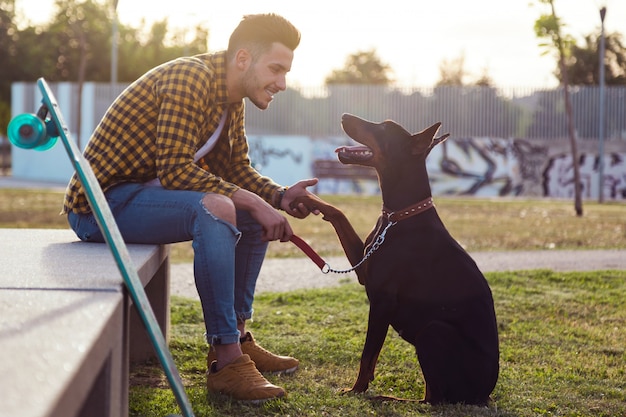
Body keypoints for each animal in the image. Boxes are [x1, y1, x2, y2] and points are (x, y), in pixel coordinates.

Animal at [294, 113, 500, 404]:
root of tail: (485, 394)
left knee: (433, 399)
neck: (398, 216)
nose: (344, 116)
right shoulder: (364, 266)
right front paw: (304, 196)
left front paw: (356, 390)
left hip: (434, 330)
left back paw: (387, 398)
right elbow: (338, 212)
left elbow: (367, 354)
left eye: (383, 128)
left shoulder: (382, 300)